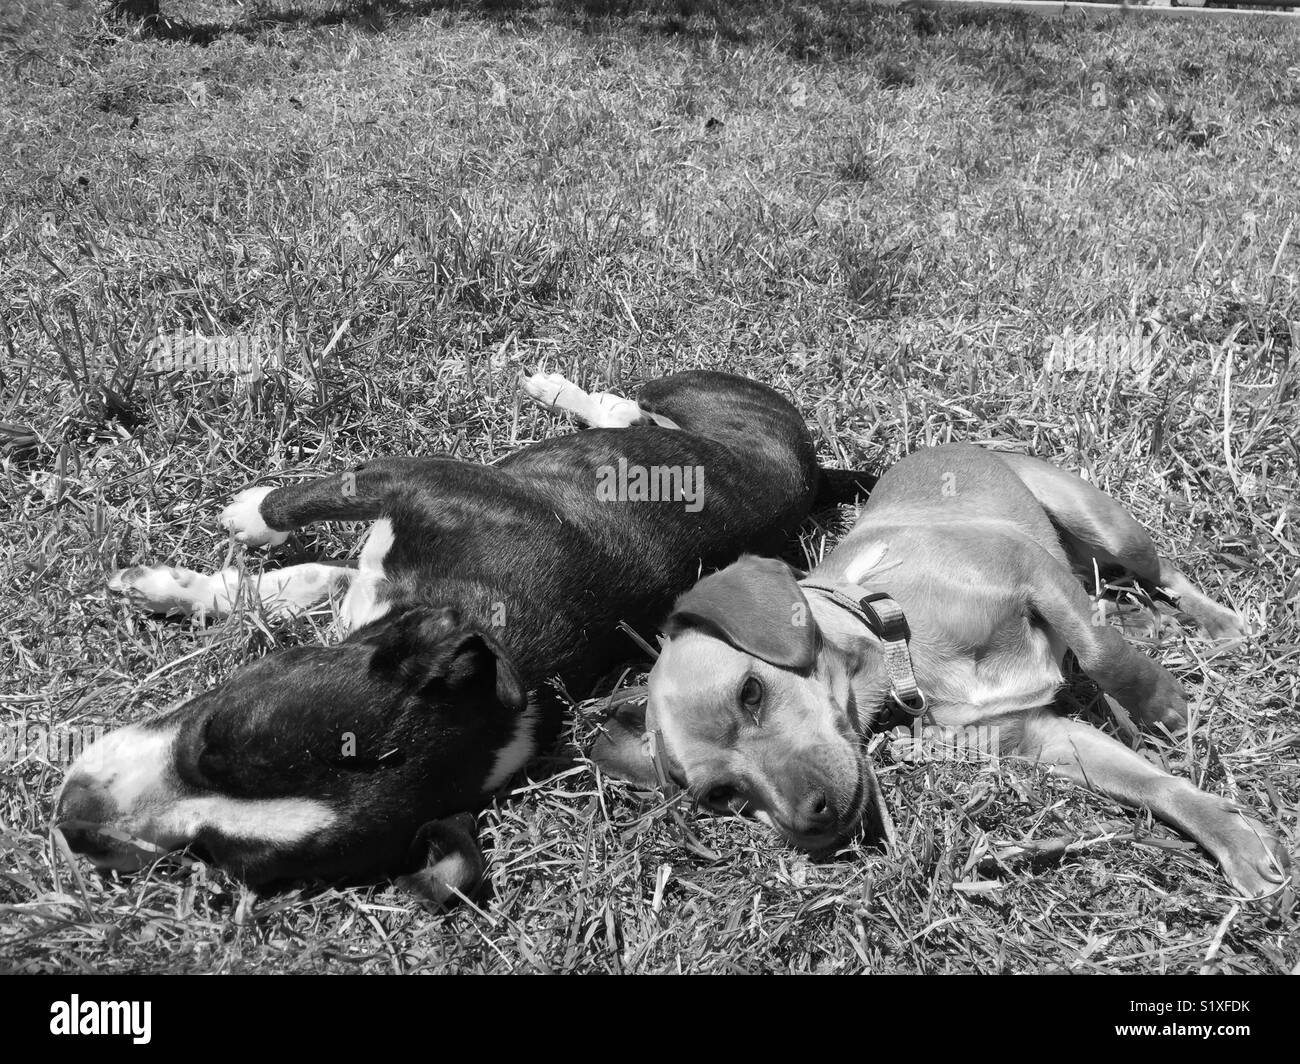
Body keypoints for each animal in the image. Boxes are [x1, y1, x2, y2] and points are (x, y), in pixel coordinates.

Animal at [55, 369, 878, 900]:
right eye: (211, 735)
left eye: (219, 862)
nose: (71, 821)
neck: (496, 652)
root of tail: (814, 464)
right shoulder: (411, 482)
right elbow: (299, 527)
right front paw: (220, 547)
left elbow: (301, 571)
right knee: (630, 410)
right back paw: (560, 389)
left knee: (629, 412)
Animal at [595, 439, 1289, 894]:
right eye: (723, 797)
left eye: (751, 691)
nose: (808, 822)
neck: (894, 637)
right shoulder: (1039, 737)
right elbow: (1149, 784)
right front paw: (1231, 837)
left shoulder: (1030, 575)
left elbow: (1101, 654)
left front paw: (1163, 706)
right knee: (1107, 605)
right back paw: (1146, 629)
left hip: (1105, 527)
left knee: (1158, 578)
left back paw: (1215, 625)